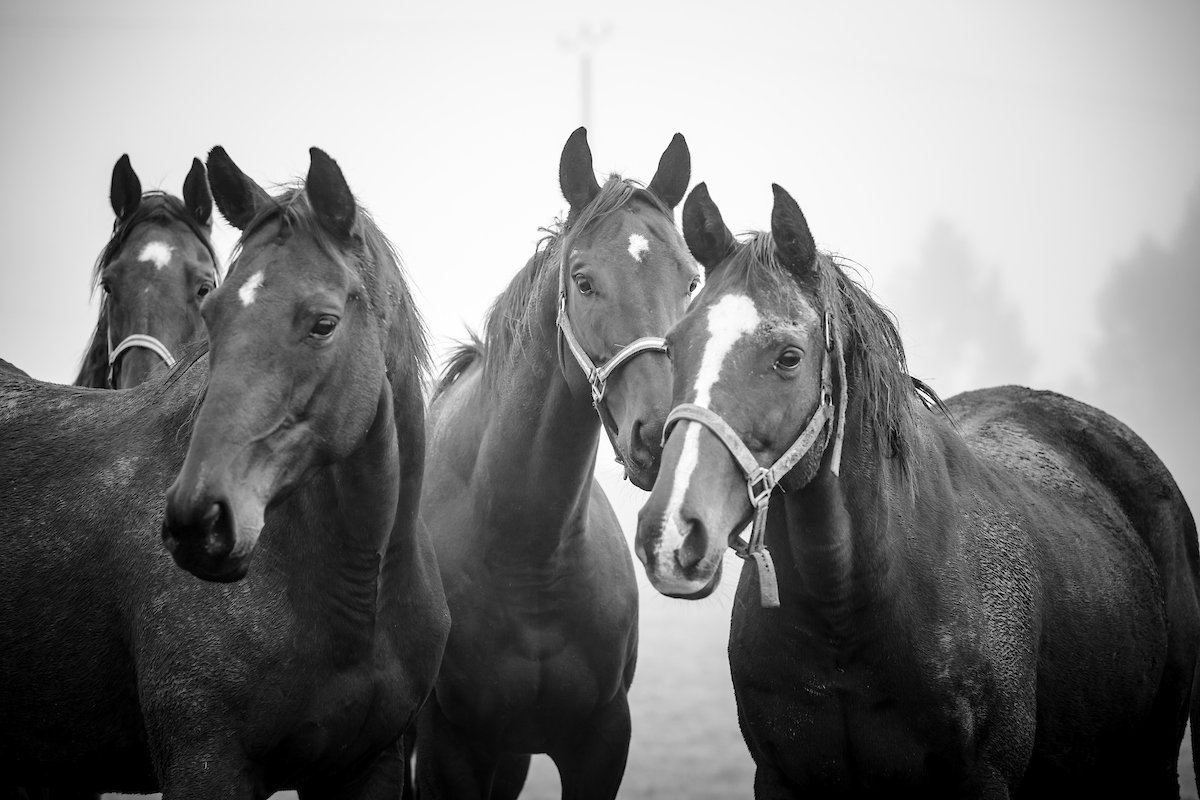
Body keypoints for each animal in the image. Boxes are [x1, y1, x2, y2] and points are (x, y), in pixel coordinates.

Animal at [415, 127, 694, 799]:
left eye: (691, 282)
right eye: (584, 281)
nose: (658, 433)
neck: (528, 556)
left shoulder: (600, 740)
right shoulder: (449, 747)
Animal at [635, 182, 1200, 798]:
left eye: (789, 357)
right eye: (674, 346)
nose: (670, 535)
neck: (845, 614)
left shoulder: (983, 779)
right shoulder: (779, 778)